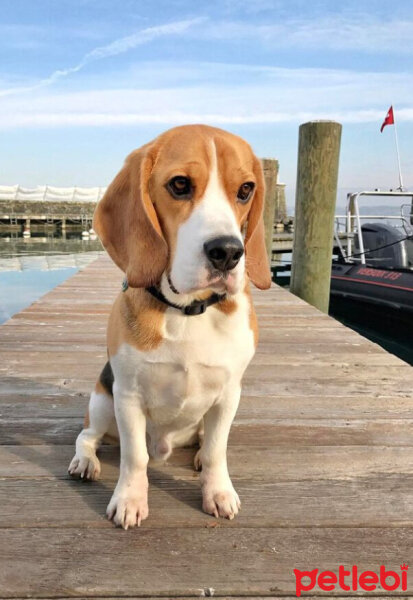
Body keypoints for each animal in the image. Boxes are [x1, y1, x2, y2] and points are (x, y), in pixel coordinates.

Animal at [67, 124, 270, 528]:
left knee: (204, 442)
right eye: (179, 184)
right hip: (102, 400)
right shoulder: (127, 395)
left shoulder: (229, 393)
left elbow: (217, 451)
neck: (188, 310)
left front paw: (217, 492)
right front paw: (129, 500)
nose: (228, 252)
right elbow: (135, 457)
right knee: (87, 435)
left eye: (245, 190)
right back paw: (85, 461)